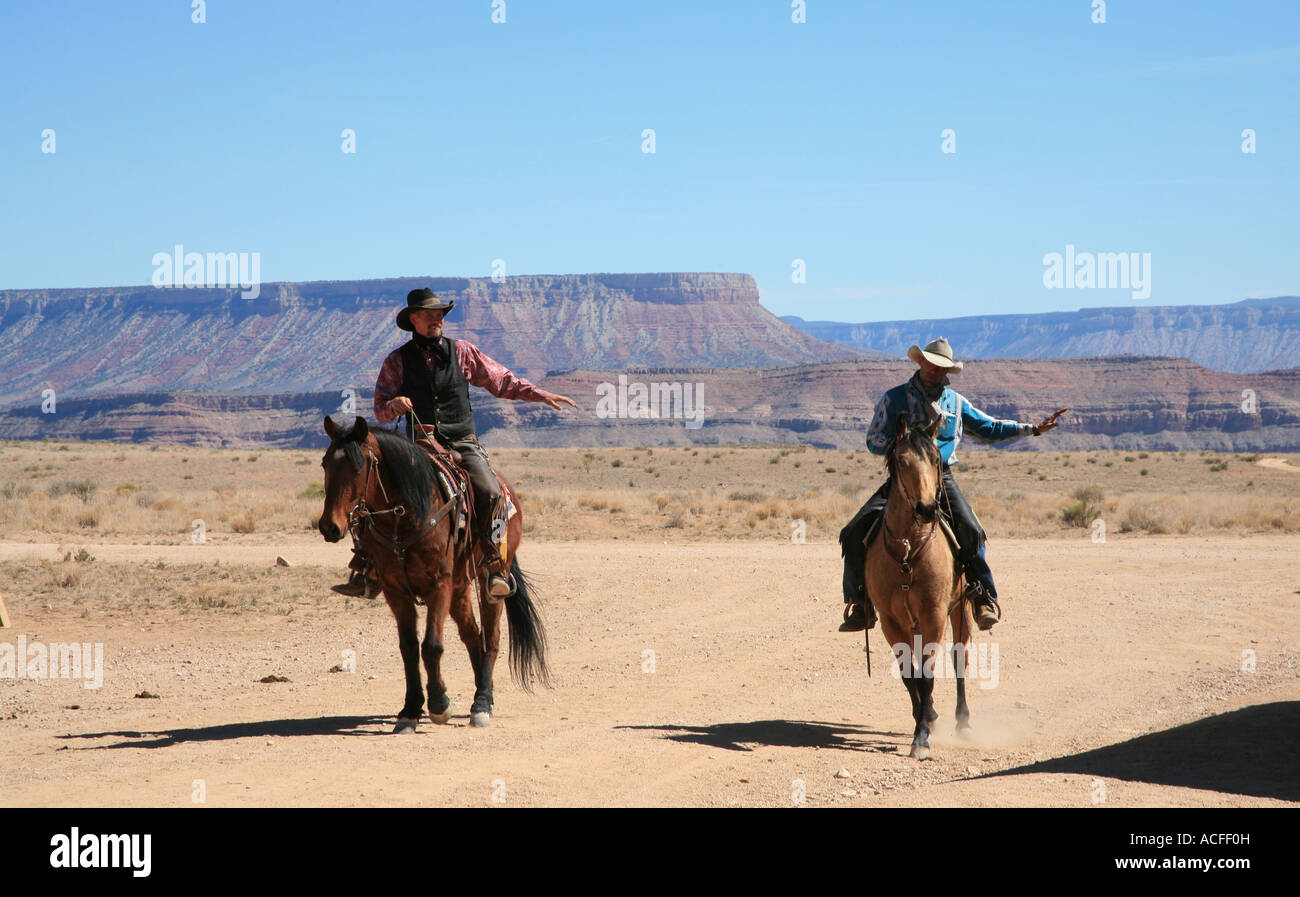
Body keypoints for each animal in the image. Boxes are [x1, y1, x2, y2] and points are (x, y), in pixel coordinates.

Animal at [321, 416, 553, 728]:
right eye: (325, 464)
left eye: (358, 468)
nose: (329, 526)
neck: (406, 518)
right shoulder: (396, 591)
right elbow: (409, 648)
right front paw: (410, 709)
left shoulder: (438, 585)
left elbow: (431, 645)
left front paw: (439, 704)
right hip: (459, 587)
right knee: (472, 635)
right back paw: (482, 693)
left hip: (487, 580)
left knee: (491, 637)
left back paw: (483, 703)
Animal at [863, 413, 977, 754]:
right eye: (901, 461)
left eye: (936, 459)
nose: (928, 508)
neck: (907, 549)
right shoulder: (890, 620)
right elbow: (908, 673)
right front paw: (923, 719)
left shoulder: (934, 614)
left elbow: (927, 673)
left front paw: (922, 737)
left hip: (960, 609)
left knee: (959, 658)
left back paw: (962, 721)